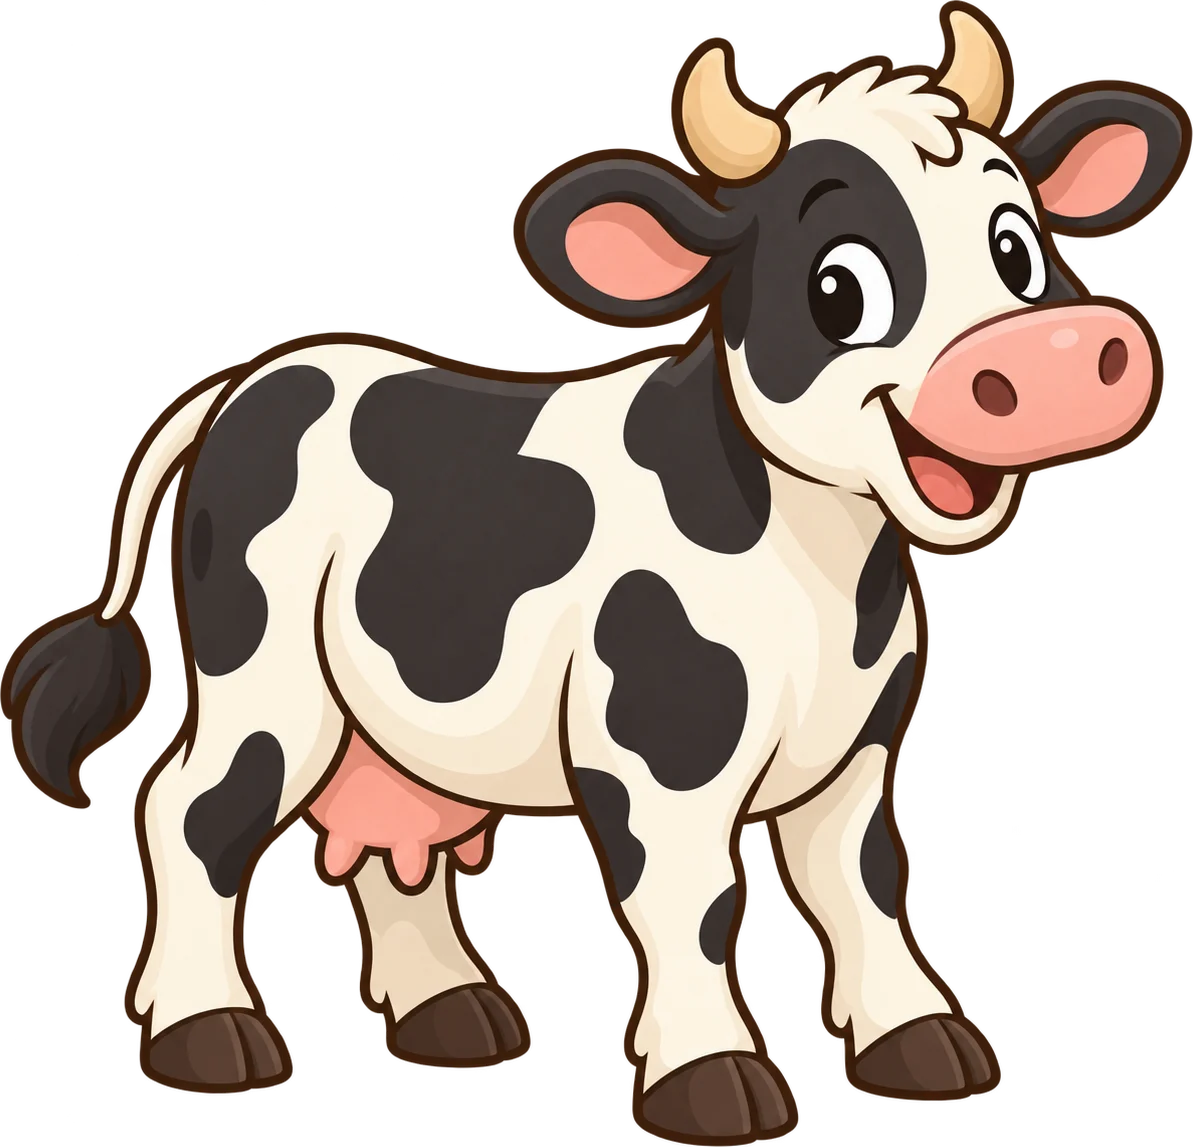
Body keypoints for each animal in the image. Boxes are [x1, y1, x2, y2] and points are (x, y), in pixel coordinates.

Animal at [1, 3, 1187, 1141]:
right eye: (838, 286)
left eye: (1015, 248)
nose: (1053, 357)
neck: (816, 577)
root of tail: (253, 379)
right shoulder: (656, 750)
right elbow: (695, 899)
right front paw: (711, 1081)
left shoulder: (856, 749)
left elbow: (864, 889)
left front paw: (923, 1044)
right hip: (265, 677)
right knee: (191, 809)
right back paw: (209, 1034)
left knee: (387, 831)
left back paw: (455, 1016)